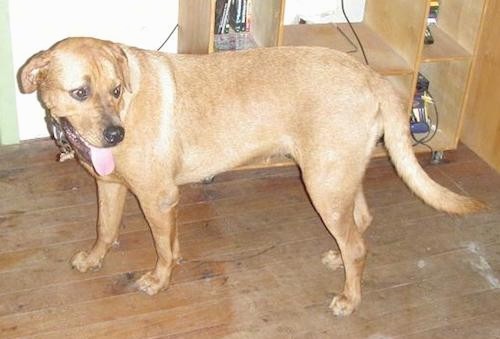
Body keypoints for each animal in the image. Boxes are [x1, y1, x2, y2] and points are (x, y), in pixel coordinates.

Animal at [18, 37, 484, 316]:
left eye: (116, 90)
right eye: (80, 92)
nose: (117, 135)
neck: (126, 107)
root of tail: (372, 77)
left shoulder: (157, 197)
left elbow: (162, 249)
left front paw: (160, 280)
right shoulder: (111, 187)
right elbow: (106, 230)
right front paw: (95, 258)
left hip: (322, 183)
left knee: (356, 245)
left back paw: (349, 299)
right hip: (337, 176)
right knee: (360, 225)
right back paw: (338, 261)